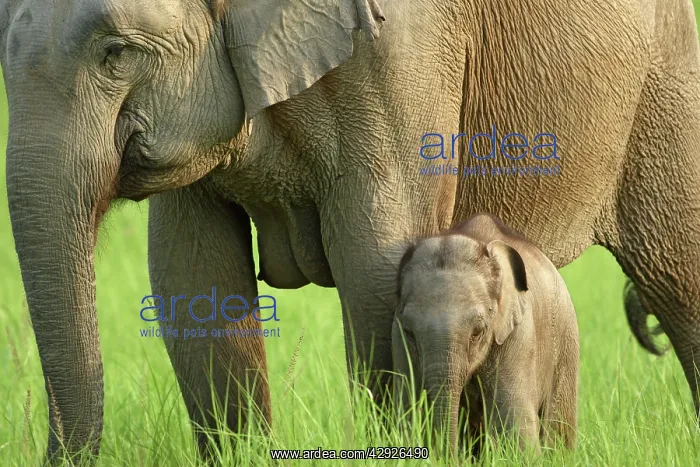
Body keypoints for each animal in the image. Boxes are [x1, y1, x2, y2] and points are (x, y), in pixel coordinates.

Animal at [392, 213, 579, 452]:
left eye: (477, 332)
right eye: (409, 332)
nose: (449, 456)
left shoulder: (519, 334)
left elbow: (514, 424)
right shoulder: (397, 334)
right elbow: (406, 406)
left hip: (566, 342)